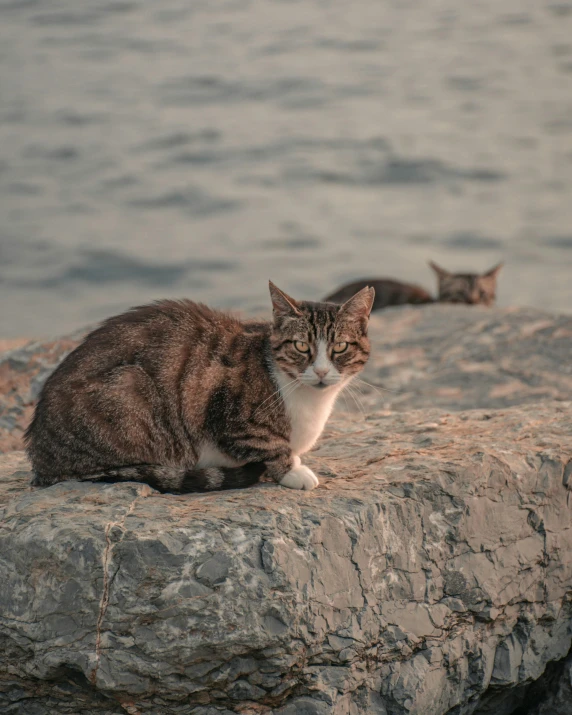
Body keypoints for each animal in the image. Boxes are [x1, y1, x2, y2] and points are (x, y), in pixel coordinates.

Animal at [25, 282, 376, 496]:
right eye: (301, 346)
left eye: (340, 347)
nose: (321, 371)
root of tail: (39, 452)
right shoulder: (230, 417)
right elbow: (268, 445)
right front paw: (293, 470)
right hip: (129, 391)